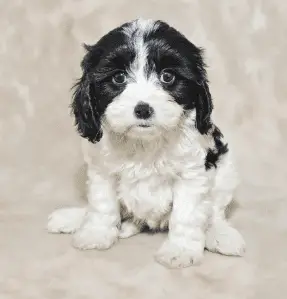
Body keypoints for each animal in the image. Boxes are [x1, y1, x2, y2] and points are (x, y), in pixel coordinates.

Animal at [48, 17, 246, 268]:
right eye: (119, 77)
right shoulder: (102, 171)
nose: (143, 109)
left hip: (226, 172)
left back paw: (220, 234)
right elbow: (102, 204)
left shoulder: (192, 174)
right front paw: (96, 233)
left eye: (167, 77)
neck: (144, 142)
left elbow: (187, 215)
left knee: (216, 210)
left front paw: (180, 250)